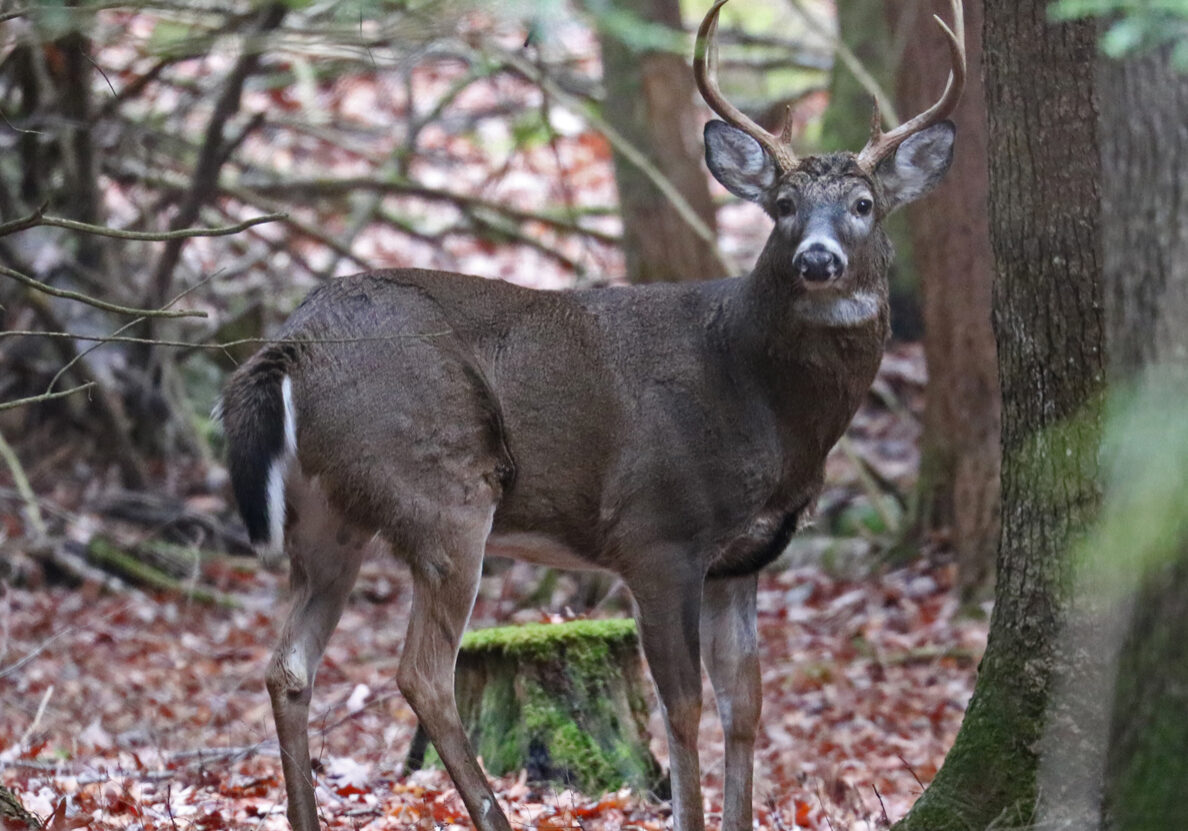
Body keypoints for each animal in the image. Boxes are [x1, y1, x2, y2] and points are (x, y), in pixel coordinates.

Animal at [220, 1, 964, 831]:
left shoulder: (742, 558)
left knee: (288, 665)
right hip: (440, 485)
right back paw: (493, 814)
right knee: (422, 671)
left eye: (865, 206)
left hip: (329, 513)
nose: (818, 259)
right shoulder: (656, 533)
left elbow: (745, 705)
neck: (765, 404)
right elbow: (683, 706)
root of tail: (290, 343)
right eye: (783, 207)